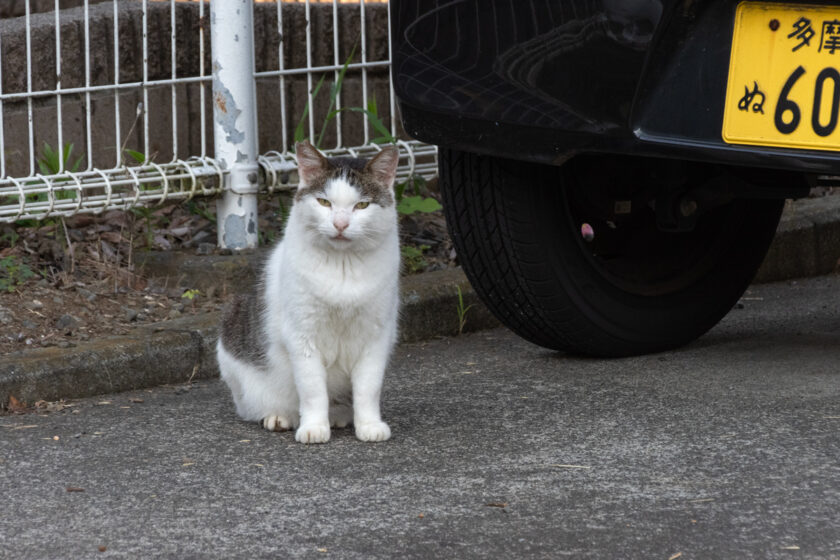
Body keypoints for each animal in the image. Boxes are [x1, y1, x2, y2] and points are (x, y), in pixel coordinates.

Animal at [215, 142, 402, 444]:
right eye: (324, 202)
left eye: (362, 205)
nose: (340, 224)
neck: (342, 267)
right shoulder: (302, 336)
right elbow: (313, 389)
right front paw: (314, 427)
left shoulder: (376, 336)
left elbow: (368, 388)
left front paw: (370, 425)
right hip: (233, 326)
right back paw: (280, 417)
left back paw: (339, 415)